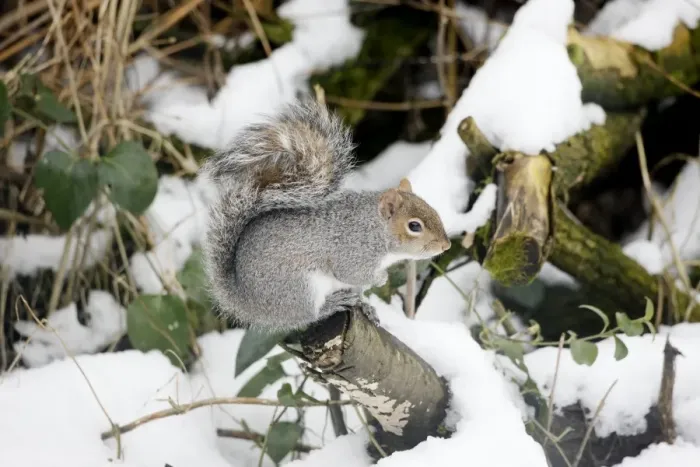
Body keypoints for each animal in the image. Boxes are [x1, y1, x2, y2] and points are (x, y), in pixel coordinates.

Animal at [200, 99, 451, 334]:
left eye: (434, 210)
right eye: (414, 226)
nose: (446, 246)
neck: (374, 229)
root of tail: (247, 302)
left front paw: (368, 305)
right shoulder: (352, 254)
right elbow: (353, 273)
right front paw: (381, 279)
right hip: (298, 289)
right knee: (307, 316)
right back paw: (331, 305)